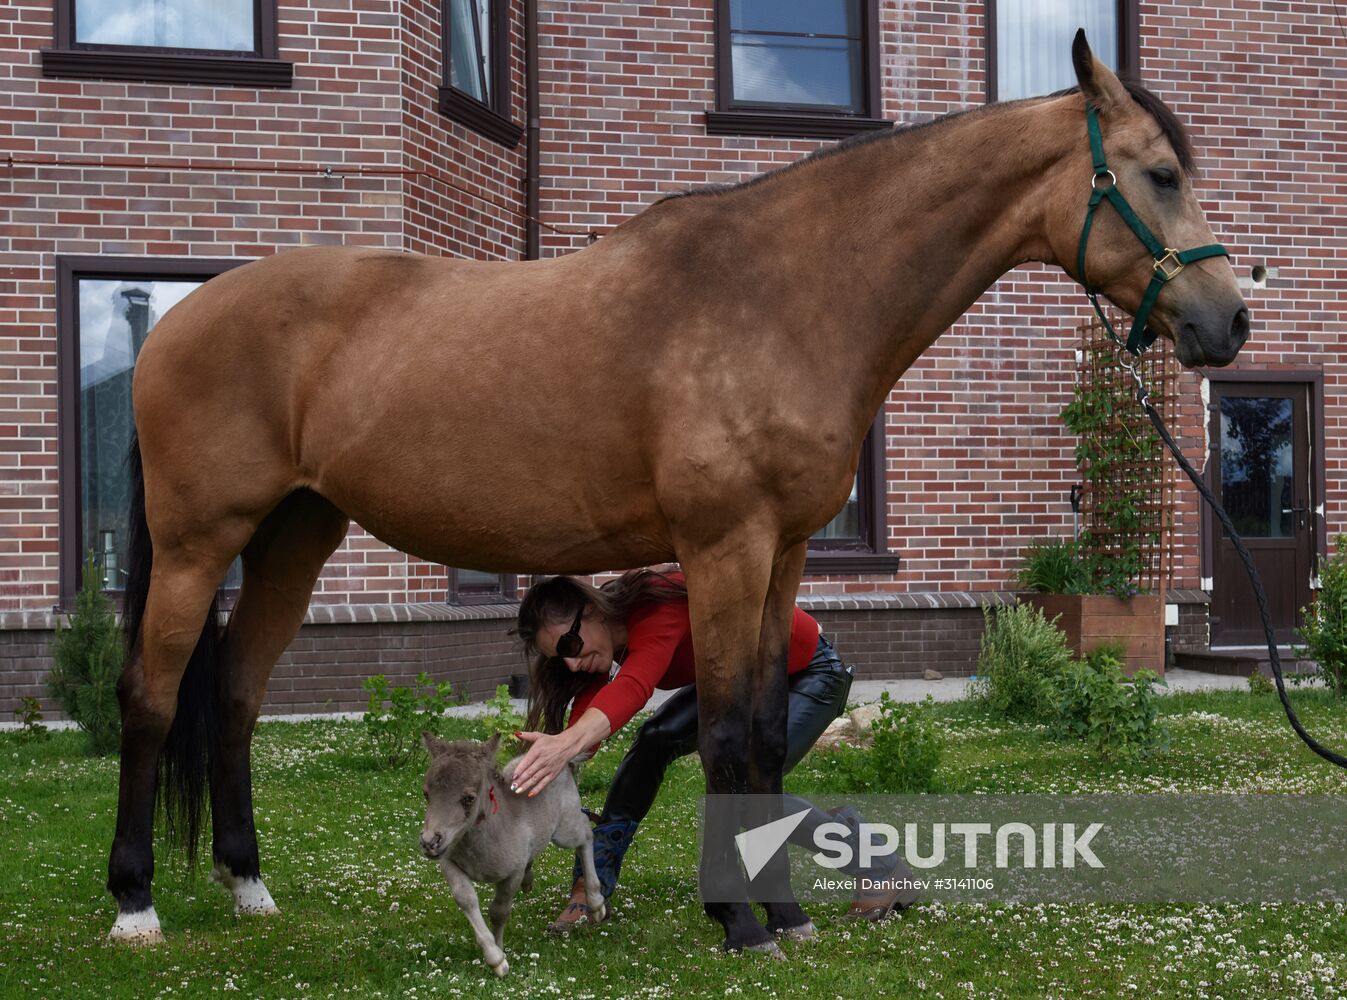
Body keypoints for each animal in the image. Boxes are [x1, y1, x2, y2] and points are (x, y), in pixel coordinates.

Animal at [108, 32, 1249, 951]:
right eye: (1157, 173)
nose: (1228, 321)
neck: (782, 296)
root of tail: (180, 319)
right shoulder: (722, 545)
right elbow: (728, 737)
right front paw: (745, 924)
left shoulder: (782, 552)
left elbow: (759, 731)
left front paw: (778, 912)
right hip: (199, 540)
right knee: (154, 698)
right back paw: (135, 905)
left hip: (295, 532)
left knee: (237, 692)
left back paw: (248, 885)